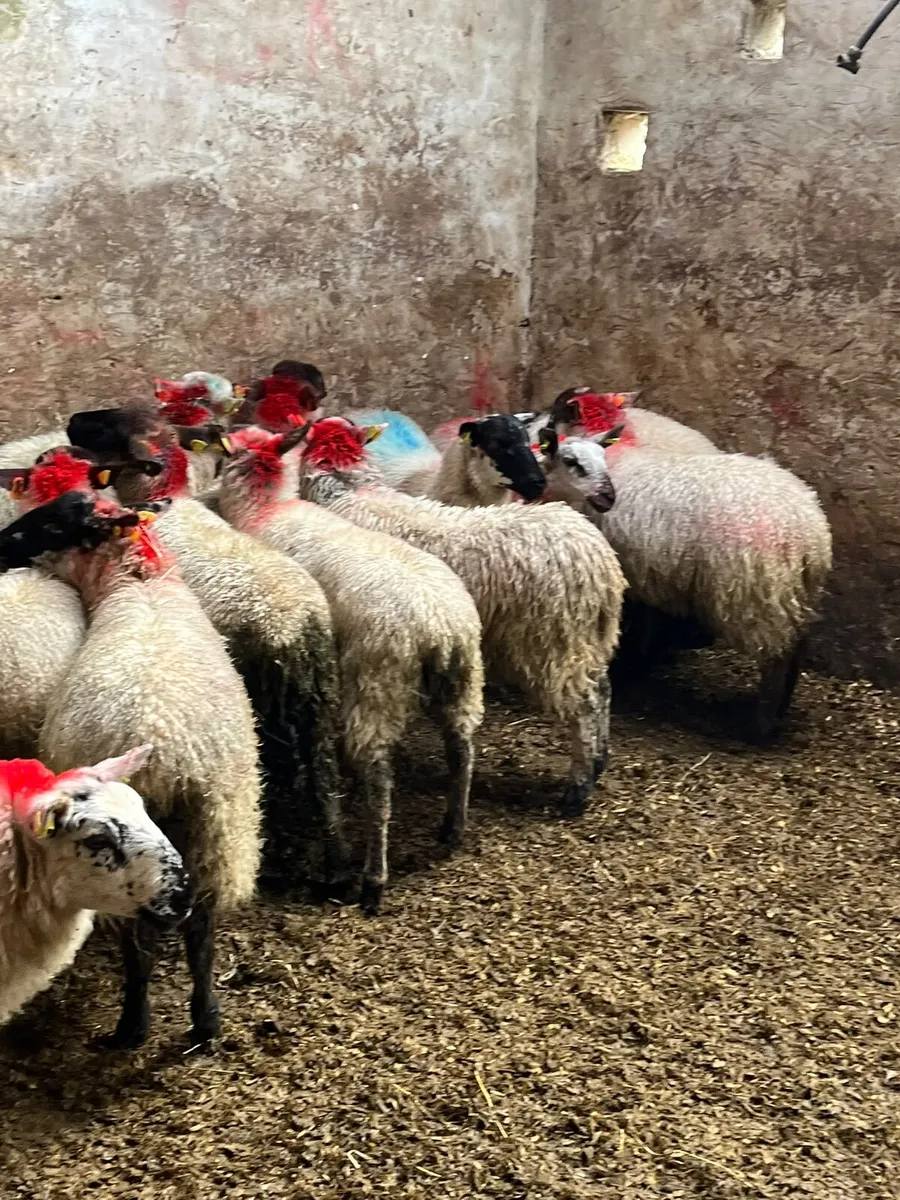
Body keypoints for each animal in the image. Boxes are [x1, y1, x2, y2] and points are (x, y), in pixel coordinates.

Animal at [25, 467, 262, 1048]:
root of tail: (168, 758)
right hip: (215, 832)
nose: (0, 544)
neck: (140, 583)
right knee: (201, 931)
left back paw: (132, 1023)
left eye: (50, 524)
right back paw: (205, 1020)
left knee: (140, 940)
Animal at [216, 424, 485, 914]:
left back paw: (373, 878)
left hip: (375, 682)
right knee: (462, 747)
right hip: (463, 678)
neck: (267, 509)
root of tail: (438, 625)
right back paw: (452, 829)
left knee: (378, 781)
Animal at [286, 418, 627, 819]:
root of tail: (599, 560)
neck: (347, 491)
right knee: (603, 689)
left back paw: (577, 790)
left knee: (586, 704)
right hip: (585, 641)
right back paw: (599, 762)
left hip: (553, 644)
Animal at [536, 408, 832, 736]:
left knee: (776, 658)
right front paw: (642, 661)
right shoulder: (647, 572)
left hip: (758, 595)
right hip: (796, 594)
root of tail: (811, 534)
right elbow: (648, 619)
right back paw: (779, 712)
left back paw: (760, 725)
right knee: (797, 647)